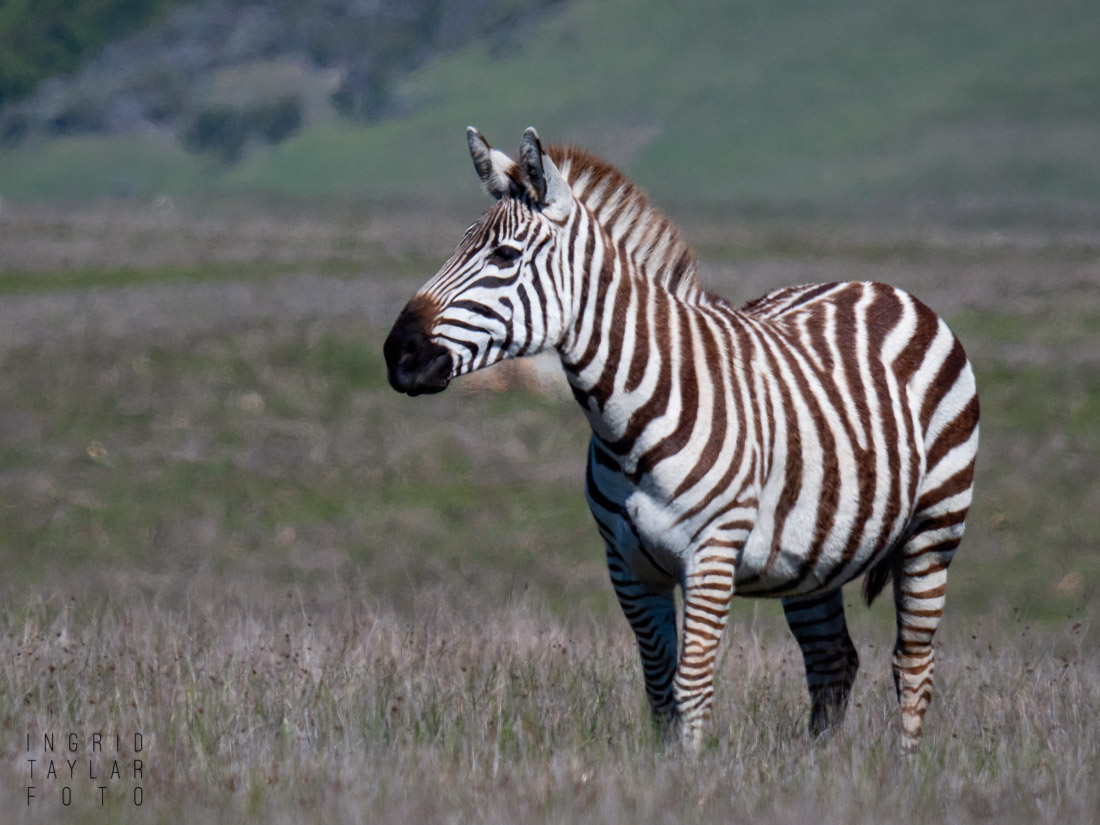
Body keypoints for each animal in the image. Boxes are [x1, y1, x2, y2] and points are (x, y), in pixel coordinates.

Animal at [384, 127, 980, 752]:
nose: (396, 354)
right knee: (832, 661)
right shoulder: (627, 566)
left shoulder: (710, 554)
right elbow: (658, 687)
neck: (628, 421)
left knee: (912, 664)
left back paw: (903, 763)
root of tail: (881, 286)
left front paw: (692, 771)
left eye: (503, 256)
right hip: (814, 556)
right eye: (458, 247)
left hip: (933, 530)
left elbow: (691, 687)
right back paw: (820, 763)